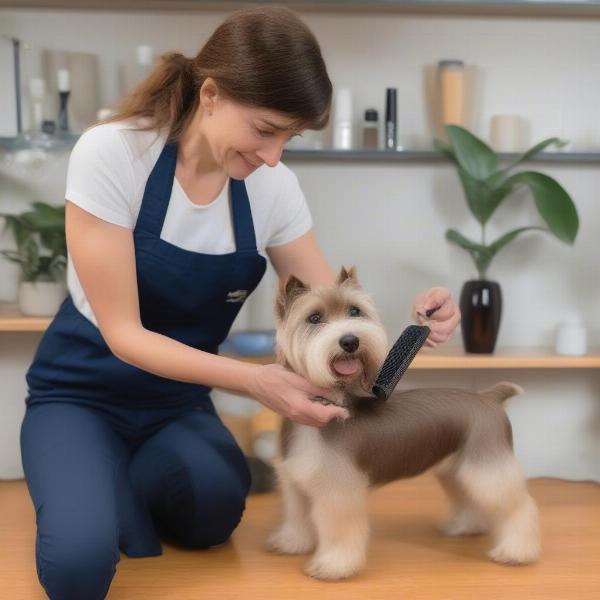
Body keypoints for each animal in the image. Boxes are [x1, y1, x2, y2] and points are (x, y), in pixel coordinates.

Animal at [264, 264, 540, 580]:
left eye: (355, 311)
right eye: (314, 318)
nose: (350, 341)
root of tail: (491, 397)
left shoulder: (337, 490)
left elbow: (339, 532)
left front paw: (333, 565)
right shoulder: (295, 483)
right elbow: (296, 518)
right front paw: (291, 542)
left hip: (486, 468)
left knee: (519, 508)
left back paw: (516, 552)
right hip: (458, 469)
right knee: (467, 496)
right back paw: (466, 526)